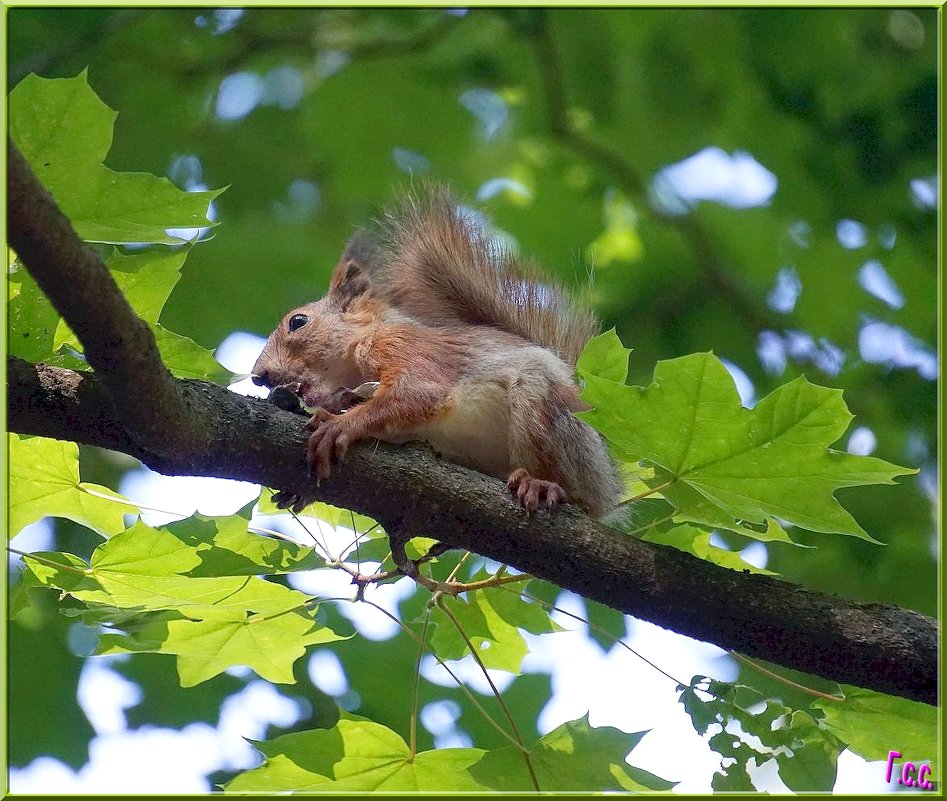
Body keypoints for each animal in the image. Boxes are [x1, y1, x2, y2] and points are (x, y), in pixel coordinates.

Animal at [248, 188, 624, 524]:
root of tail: (608, 482)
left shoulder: (404, 347)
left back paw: (544, 485)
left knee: (579, 495)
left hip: (549, 412)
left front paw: (340, 424)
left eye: (298, 322)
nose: (258, 375)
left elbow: (416, 394)